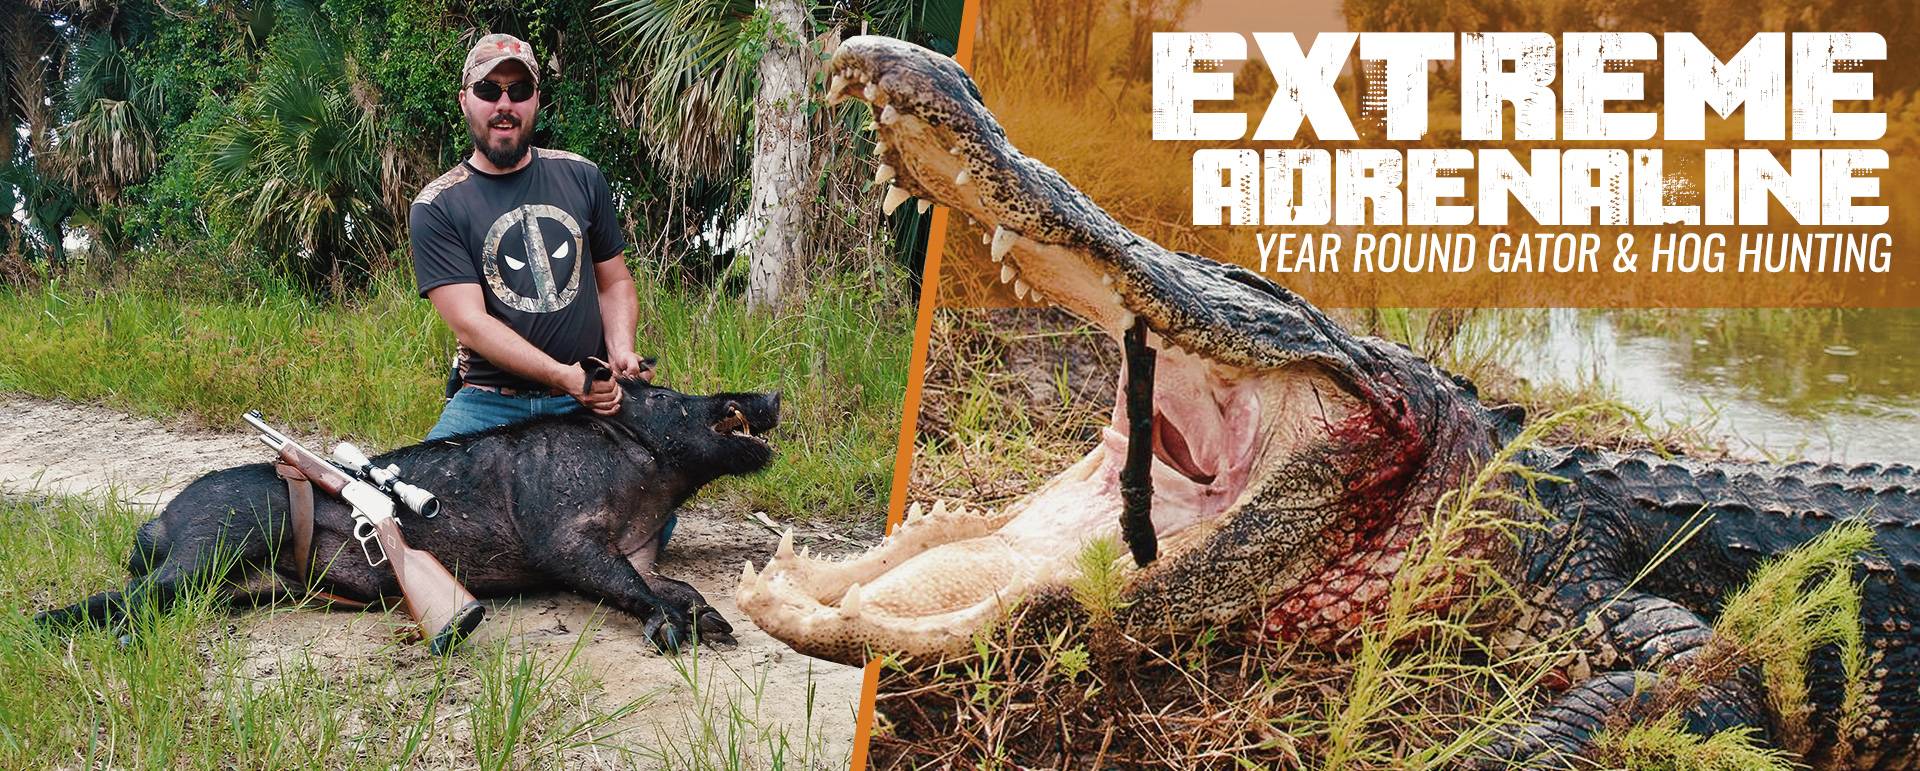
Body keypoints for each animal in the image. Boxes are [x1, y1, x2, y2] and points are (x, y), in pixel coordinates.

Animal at [35, 379, 780, 652]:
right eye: (676, 399)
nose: (769, 393)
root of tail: (159, 520)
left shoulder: (635, 548)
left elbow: (672, 582)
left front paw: (717, 625)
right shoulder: (563, 537)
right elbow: (625, 583)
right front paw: (675, 632)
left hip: (236, 579)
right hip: (209, 542)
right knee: (128, 595)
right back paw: (51, 627)